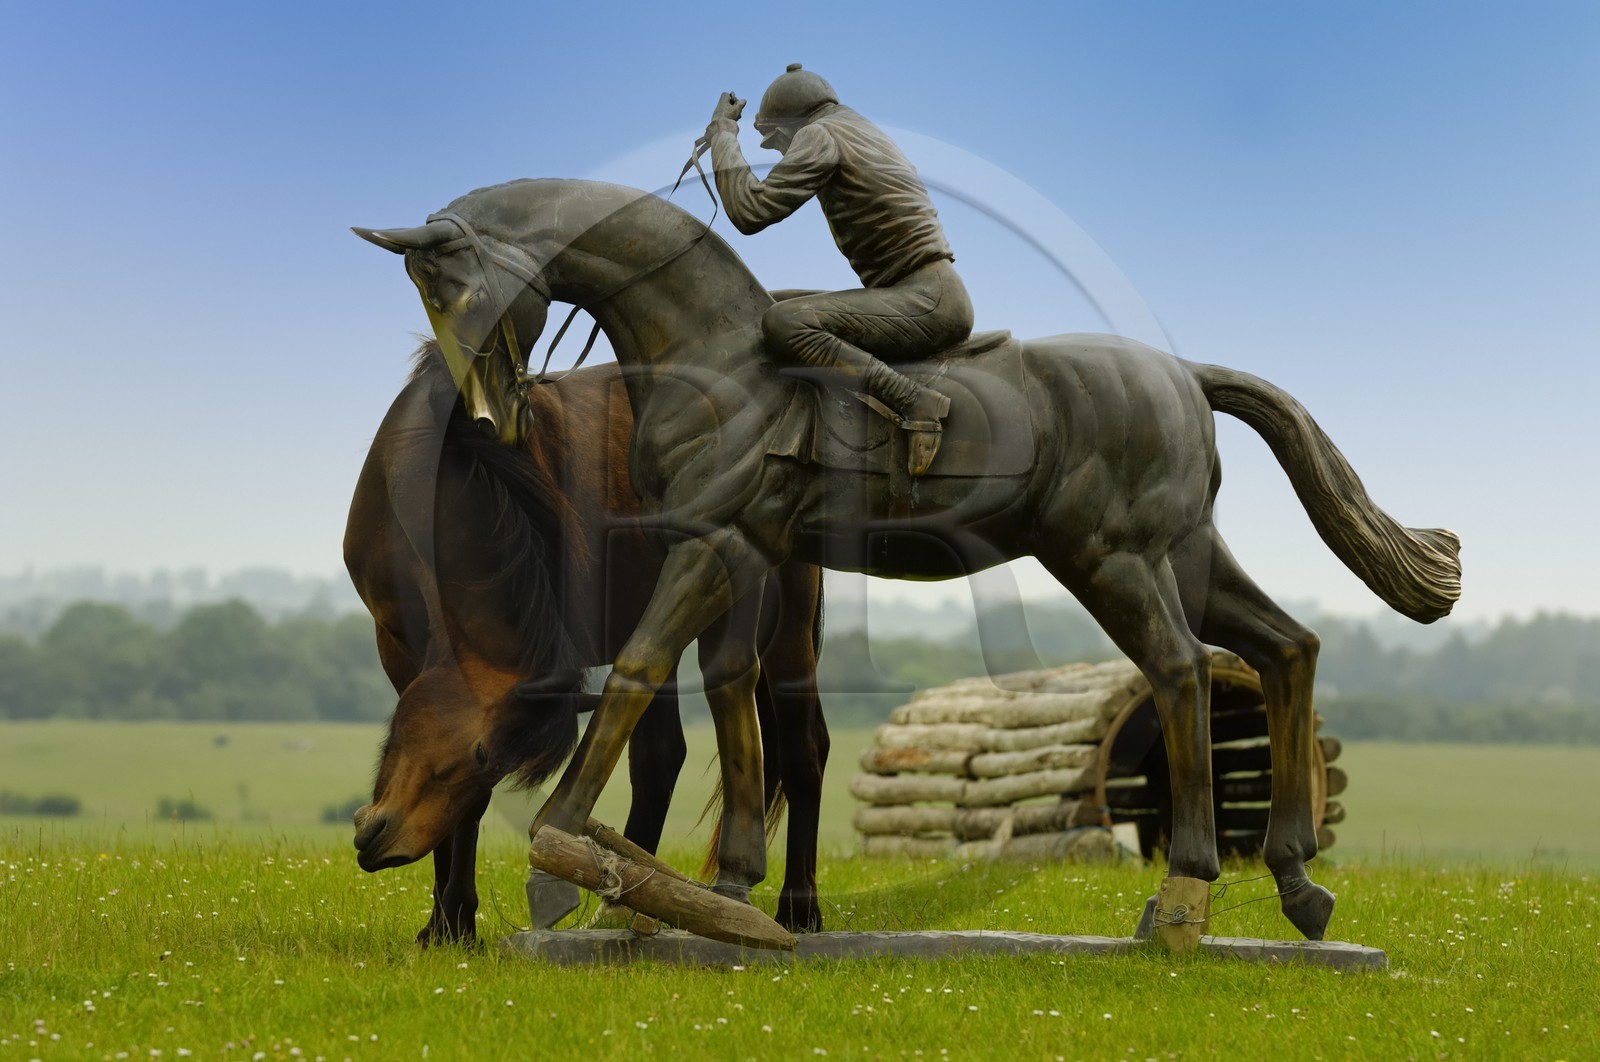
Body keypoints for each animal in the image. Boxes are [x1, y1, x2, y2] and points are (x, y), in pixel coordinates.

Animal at [345, 339, 829, 941]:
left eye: (486, 757)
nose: (382, 840)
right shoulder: (397, 647)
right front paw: (442, 924)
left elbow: (475, 805)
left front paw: (453, 919)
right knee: (661, 758)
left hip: (786, 629)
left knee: (805, 749)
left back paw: (799, 908)